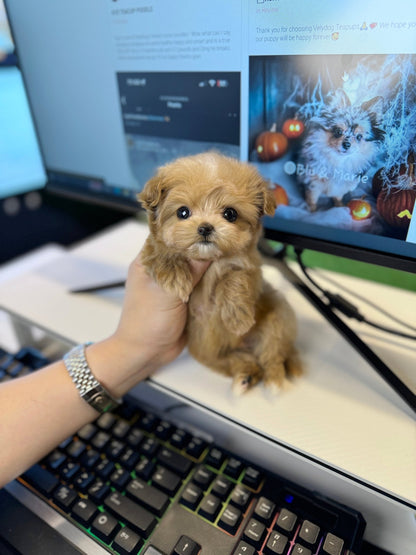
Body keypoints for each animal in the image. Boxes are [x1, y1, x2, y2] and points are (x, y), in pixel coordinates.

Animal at [140, 152, 302, 396]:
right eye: (183, 212)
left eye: (230, 214)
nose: (205, 227)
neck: (208, 260)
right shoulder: (149, 251)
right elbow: (160, 251)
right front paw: (176, 276)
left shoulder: (248, 265)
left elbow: (235, 279)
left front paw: (237, 318)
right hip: (206, 349)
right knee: (231, 361)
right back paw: (245, 376)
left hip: (277, 319)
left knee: (272, 355)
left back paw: (273, 380)